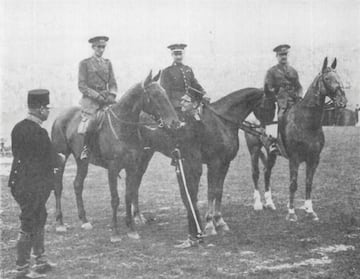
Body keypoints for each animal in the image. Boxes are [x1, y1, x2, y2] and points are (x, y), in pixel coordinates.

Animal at [50, 72, 180, 243]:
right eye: (155, 95)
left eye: (165, 93)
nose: (175, 122)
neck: (123, 129)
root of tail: (59, 117)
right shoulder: (113, 169)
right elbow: (115, 199)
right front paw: (115, 232)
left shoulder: (132, 167)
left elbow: (128, 195)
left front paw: (132, 229)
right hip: (62, 158)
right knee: (58, 187)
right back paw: (60, 223)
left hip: (81, 161)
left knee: (77, 185)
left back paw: (84, 220)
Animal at [125, 87, 266, 243]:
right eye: (271, 102)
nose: (262, 131)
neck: (221, 122)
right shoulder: (214, 163)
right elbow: (211, 192)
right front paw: (210, 224)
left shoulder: (225, 164)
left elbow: (219, 191)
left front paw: (220, 221)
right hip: (142, 156)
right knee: (134, 182)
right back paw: (136, 218)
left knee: (136, 182)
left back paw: (138, 217)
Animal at [245, 58, 346, 222]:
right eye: (327, 78)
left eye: (338, 76)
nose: (342, 101)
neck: (306, 121)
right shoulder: (294, 158)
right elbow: (293, 184)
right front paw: (291, 213)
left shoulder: (314, 159)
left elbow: (308, 183)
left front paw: (310, 211)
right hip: (254, 149)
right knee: (256, 173)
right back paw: (258, 204)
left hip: (271, 152)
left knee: (267, 172)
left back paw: (270, 203)